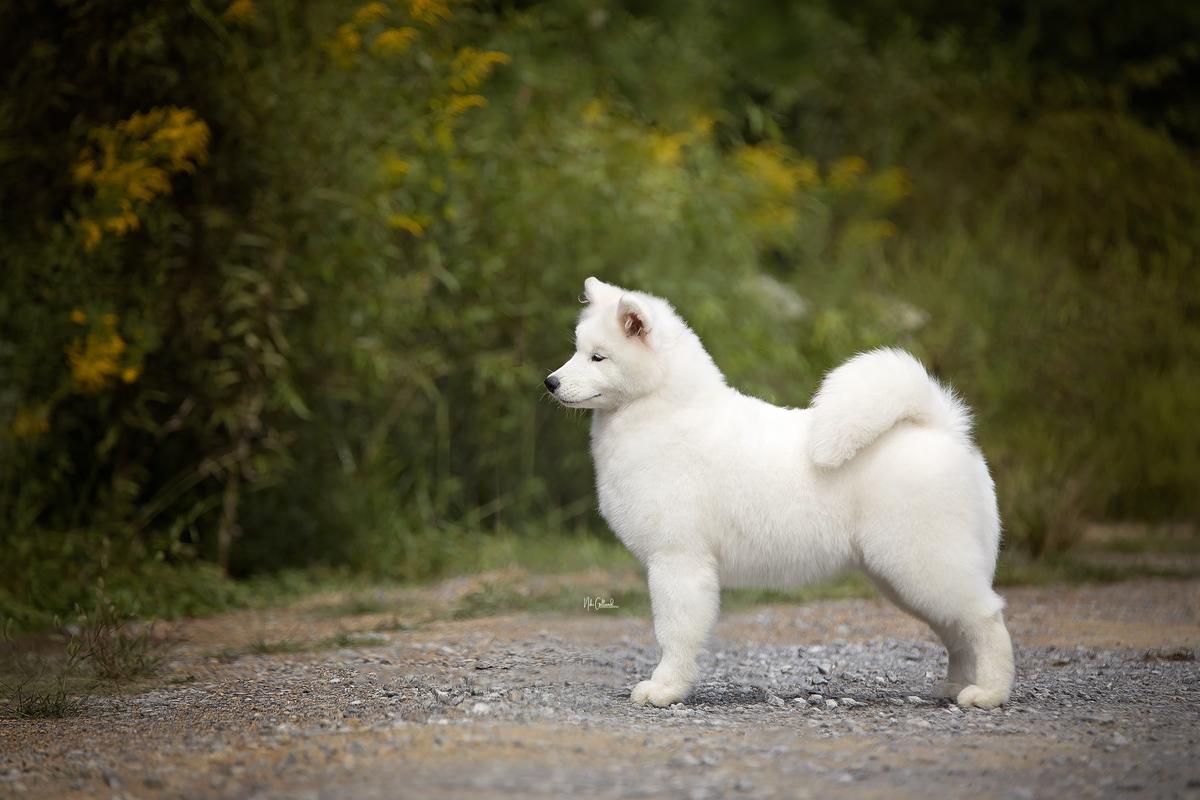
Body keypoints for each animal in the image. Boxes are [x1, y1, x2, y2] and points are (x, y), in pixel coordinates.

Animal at [549, 278, 1017, 710]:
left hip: (924, 563)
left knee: (985, 618)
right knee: (958, 632)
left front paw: (665, 689)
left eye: (598, 357)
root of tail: (943, 429)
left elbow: (674, 633)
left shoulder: (677, 560)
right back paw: (955, 686)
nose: (550, 382)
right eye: (576, 350)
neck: (663, 414)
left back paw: (989, 693)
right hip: (904, 576)